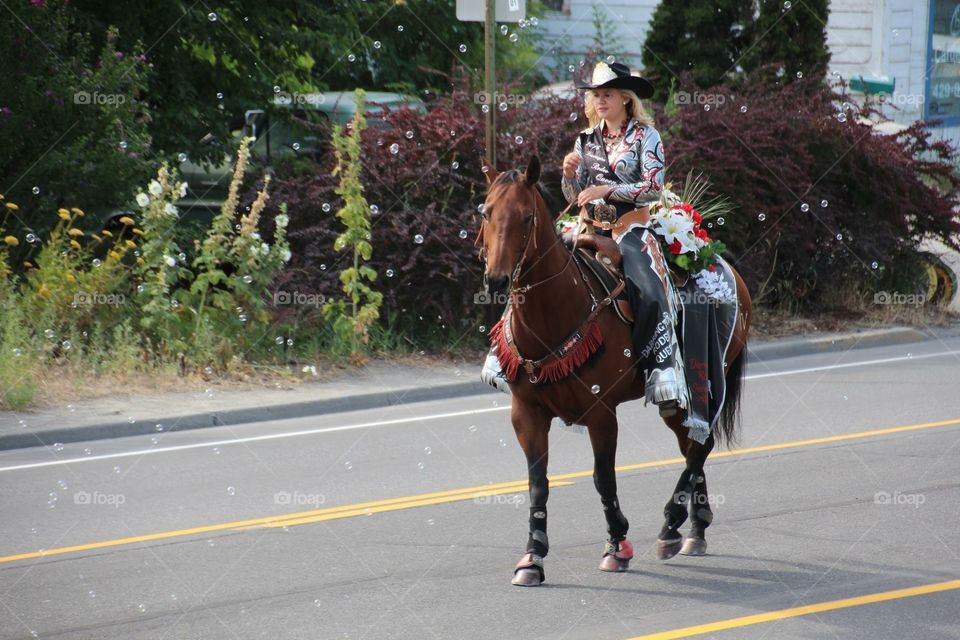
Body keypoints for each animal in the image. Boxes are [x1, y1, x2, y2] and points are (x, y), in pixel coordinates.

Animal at [475, 156, 752, 586]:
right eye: (486, 212)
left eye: (526, 217)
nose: (497, 279)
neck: (557, 311)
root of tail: (728, 269)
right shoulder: (526, 413)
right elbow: (538, 484)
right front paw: (532, 557)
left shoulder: (601, 412)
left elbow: (602, 477)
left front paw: (617, 546)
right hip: (679, 402)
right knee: (693, 444)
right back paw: (695, 529)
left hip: (702, 380)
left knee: (699, 447)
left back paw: (671, 526)